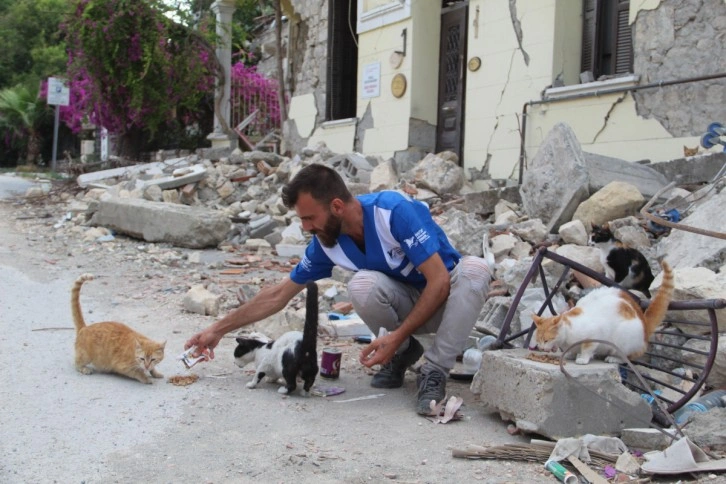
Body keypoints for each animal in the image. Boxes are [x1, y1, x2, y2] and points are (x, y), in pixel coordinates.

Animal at [536, 260, 676, 364]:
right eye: (538, 341)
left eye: (546, 340)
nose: (541, 348)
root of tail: (645, 323)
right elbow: (573, 350)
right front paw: (570, 354)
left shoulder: (593, 336)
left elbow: (587, 349)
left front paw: (582, 359)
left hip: (623, 340)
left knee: (627, 358)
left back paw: (613, 359)